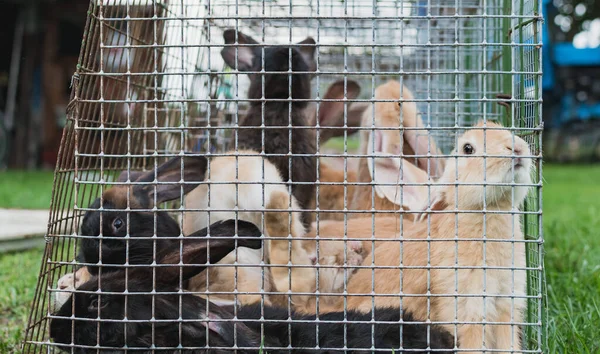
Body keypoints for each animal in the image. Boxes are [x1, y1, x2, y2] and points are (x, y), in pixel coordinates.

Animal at [336, 120, 532, 352]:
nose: (517, 148)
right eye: (468, 148)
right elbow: (473, 342)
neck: (491, 209)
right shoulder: (469, 305)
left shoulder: (506, 304)